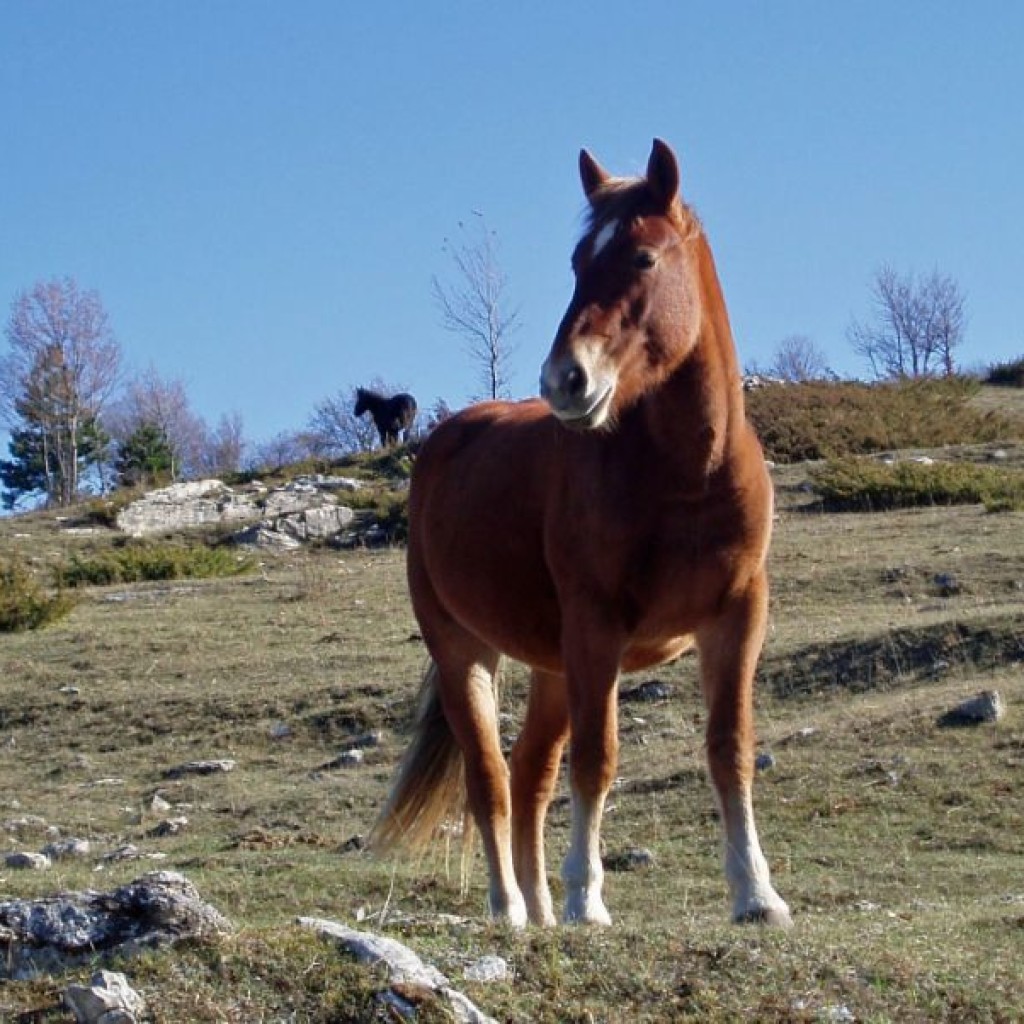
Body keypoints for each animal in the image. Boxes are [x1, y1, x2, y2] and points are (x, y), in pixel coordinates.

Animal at [376, 140, 790, 933]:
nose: (564, 380)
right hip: (466, 651)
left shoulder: (737, 616)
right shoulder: (598, 627)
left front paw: (757, 895)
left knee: (531, 772)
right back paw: (512, 908)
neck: (687, 480)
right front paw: (586, 899)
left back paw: (537, 910)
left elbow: (730, 748)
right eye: (576, 263)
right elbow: (598, 760)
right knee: (492, 778)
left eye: (643, 259)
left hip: (553, 668)